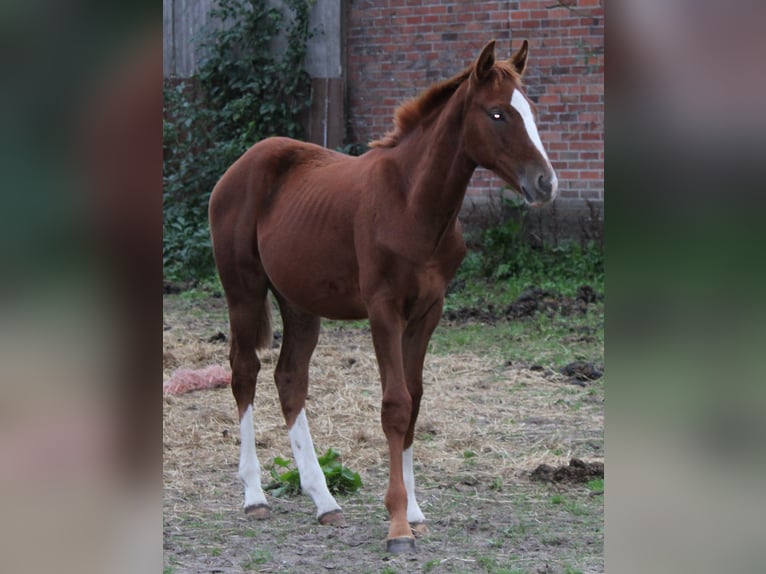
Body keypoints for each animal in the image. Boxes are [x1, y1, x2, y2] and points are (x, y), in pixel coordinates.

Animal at [208, 39, 560, 552]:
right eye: (497, 114)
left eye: (531, 109)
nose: (545, 183)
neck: (412, 204)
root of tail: (239, 165)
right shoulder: (384, 311)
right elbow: (394, 405)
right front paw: (397, 526)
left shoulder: (428, 312)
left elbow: (414, 400)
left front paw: (414, 513)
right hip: (244, 290)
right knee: (244, 372)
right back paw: (254, 496)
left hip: (300, 303)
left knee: (290, 378)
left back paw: (325, 502)